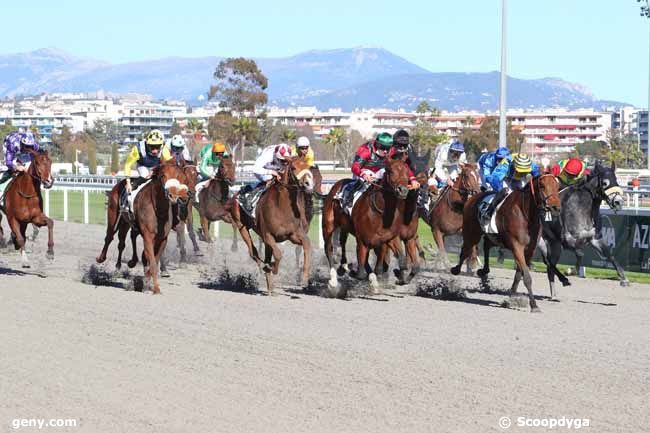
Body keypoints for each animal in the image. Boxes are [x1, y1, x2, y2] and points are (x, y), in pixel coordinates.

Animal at [95, 161, 190, 294]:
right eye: (163, 175)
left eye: (180, 177)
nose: (173, 195)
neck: (158, 208)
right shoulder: (148, 236)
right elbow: (153, 262)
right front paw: (155, 288)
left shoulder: (162, 238)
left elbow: (153, 259)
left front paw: (147, 282)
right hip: (114, 216)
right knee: (110, 237)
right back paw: (102, 259)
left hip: (127, 223)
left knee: (125, 240)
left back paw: (129, 263)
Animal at [232, 156, 316, 294]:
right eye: (294, 167)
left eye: (308, 167)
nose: (309, 184)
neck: (282, 207)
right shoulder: (267, 235)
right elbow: (278, 254)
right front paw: (272, 268)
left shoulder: (293, 235)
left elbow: (307, 245)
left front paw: (304, 278)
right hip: (241, 227)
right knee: (253, 252)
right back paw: (265, 267)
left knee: (265, 256)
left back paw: (270, 286)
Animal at [322, 159, 410, 296]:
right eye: (390, 171)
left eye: (407, 171)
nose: (403, 190)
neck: (381, 212)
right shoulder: (362, 240)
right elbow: (361, 273)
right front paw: (352, 270)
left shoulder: (389, 238)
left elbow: (399, 261)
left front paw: (399, 276)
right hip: (328, 226)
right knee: (329, 249)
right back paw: (334, 280)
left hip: (345, 227)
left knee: (344, 243)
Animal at [448, 174, 560, 312]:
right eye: (542, 186)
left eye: (557, 186)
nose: (556, 207)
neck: (526, 215)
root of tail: (472, 198)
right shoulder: (517, 246)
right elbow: (527, 277)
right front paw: (534, 305)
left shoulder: (530, 249)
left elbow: (519, 274)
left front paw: (511, 297)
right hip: (472, 233)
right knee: (466, 249)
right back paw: (456, 269)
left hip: (495, 237)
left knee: (486, 245)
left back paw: (483, 270)